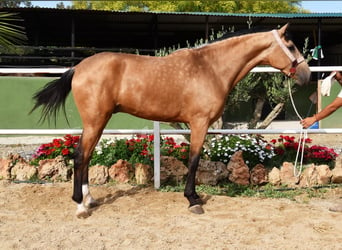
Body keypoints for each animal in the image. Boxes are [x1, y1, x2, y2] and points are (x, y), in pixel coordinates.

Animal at [31, 24, 310, 218]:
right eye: (291, 46)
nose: (306, 75)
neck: (211, 68)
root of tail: (78, 67)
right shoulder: (199, 123)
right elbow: (194, 160)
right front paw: (193, 200)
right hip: (95, 121)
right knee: (80, 155)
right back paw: (81, 205)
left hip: (99, 121)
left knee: (86, 156)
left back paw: (89, 199)